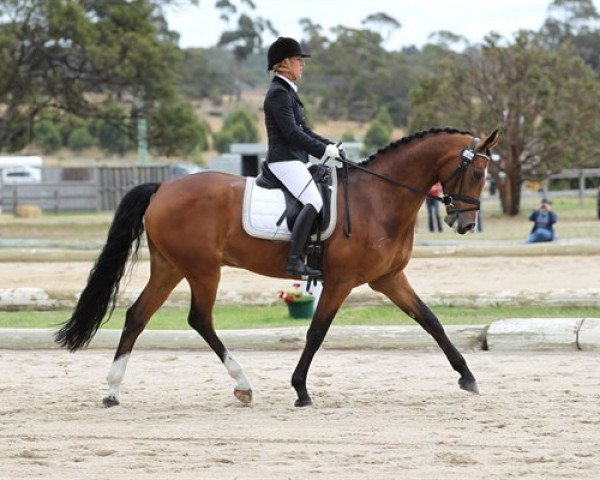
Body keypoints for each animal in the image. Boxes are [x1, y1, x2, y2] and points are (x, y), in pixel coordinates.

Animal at [56, 125, 500, 406]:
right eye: (478, 172)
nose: (464, 223)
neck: (379, 198)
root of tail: (163, 186)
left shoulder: (389, 278)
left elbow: (431, 321)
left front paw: (468, 377)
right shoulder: (341, 281)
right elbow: (316, 332)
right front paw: (301, 390)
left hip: (170, 267)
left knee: (137, 316)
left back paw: (113, 391)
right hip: (203, 269)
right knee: (199, 319)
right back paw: (243, 385)